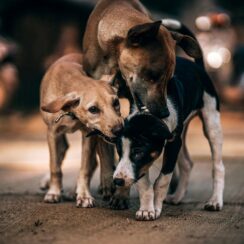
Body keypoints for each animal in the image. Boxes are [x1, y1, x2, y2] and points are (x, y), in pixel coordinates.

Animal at [40, 53, 125, 208]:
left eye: (116, 102)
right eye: (93, 109)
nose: (119, 129)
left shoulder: (88, 134)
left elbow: (85, 168)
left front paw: (84, 195)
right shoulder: (52, 133)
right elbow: (55, 166)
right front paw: (53, 192)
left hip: (98, 135)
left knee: (97, 160)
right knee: (62, 152)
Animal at [112, 54, 225, 219]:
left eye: (138, 152)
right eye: (119, 152)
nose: (118, 181)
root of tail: (198, 66)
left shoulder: (172, 142)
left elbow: (162, 180)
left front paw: (155, 207)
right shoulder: (156, 154)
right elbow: (144, 183)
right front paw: (147, 209)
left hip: (211, 122)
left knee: (218, 166)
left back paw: (215, 201)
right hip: (183, 132)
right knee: (187, 163)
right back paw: (177, 196)